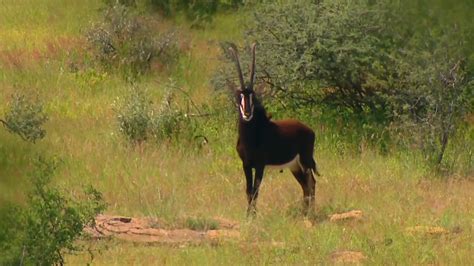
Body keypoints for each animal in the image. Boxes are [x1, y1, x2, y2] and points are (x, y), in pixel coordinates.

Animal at [229, 43, 320, 214]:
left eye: (252, 96)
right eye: (240, 97)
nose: (247, 113)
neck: (251, 137)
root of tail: (309, 130)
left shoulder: (260, 165)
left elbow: (255, 191)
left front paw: (253, 216)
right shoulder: (246, 164)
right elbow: (248, 190)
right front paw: (248, 215)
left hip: (305, 161)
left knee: (311, 183)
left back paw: (310, 213)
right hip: (294, 166)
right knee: (305, 185)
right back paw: (304, 212)